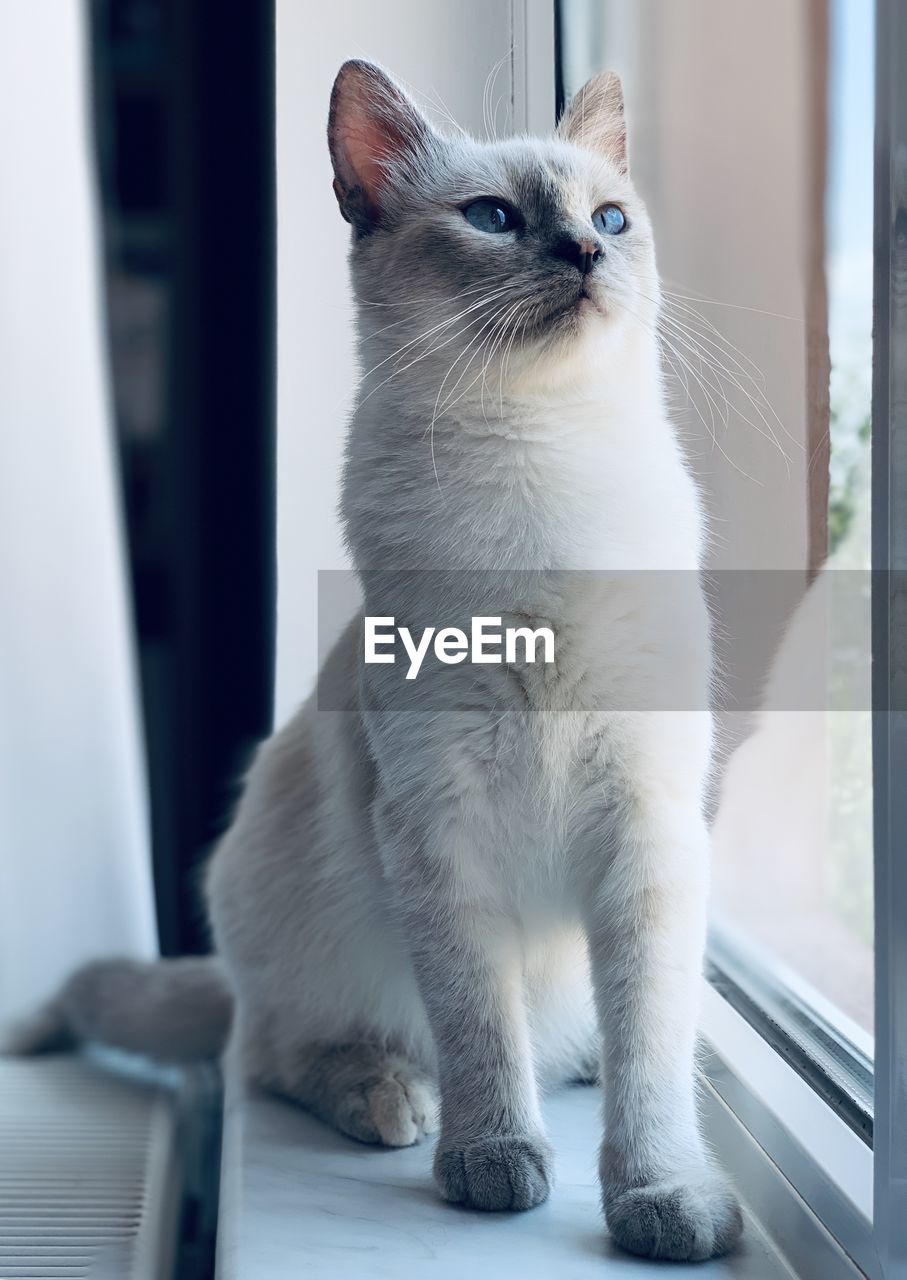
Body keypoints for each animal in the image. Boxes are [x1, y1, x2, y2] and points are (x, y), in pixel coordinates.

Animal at [3, 57, 741, 1259]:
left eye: (608, 219)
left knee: (605, 1044)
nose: (583, 255)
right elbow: (479, 1024)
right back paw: (395, 1100)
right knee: (272, 1056)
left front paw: (661, 1199)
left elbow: (649, 1061)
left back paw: (576, 1068)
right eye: (493, 220)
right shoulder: (437, 826)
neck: (541, 479)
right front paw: (494, 1165)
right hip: (290, 904)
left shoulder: (645, 823)